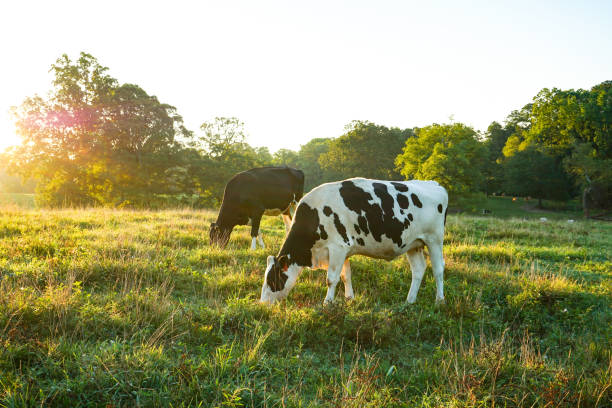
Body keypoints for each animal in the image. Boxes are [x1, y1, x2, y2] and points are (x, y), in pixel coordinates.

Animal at [260, 177, 450, 304]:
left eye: (272, 280)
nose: (262, 304)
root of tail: (434, 184)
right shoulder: (344, 250)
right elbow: (346, 276)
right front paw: (349, 298)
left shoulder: (337, 247)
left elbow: (331, 278)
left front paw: (327, 303)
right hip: (413, 244)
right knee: (418, 270)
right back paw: (409, 301)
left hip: (434, 239)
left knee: (438, 269)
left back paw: (439, 300)